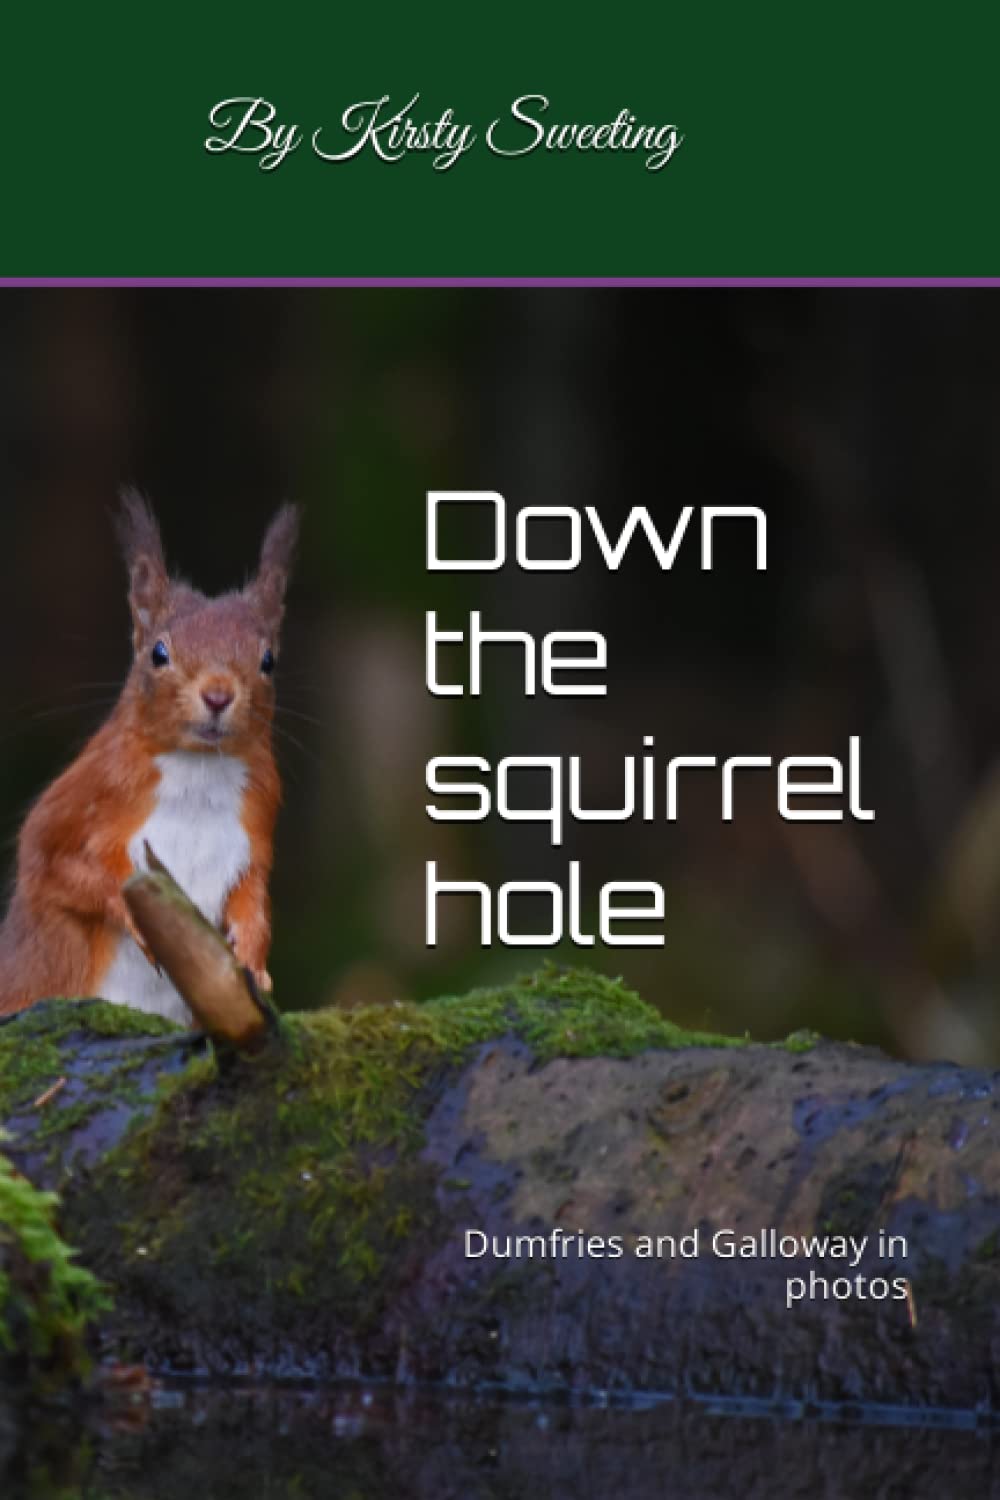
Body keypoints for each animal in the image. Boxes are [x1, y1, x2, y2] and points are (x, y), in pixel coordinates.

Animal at [0, 491, 299, 1025]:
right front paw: (131, 918)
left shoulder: (257, 824)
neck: (198, 766)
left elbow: (253, 899)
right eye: (158, 653)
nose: (218, 695)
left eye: (268, 661)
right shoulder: (80, 798)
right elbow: (53, 865)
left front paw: (254, 962)